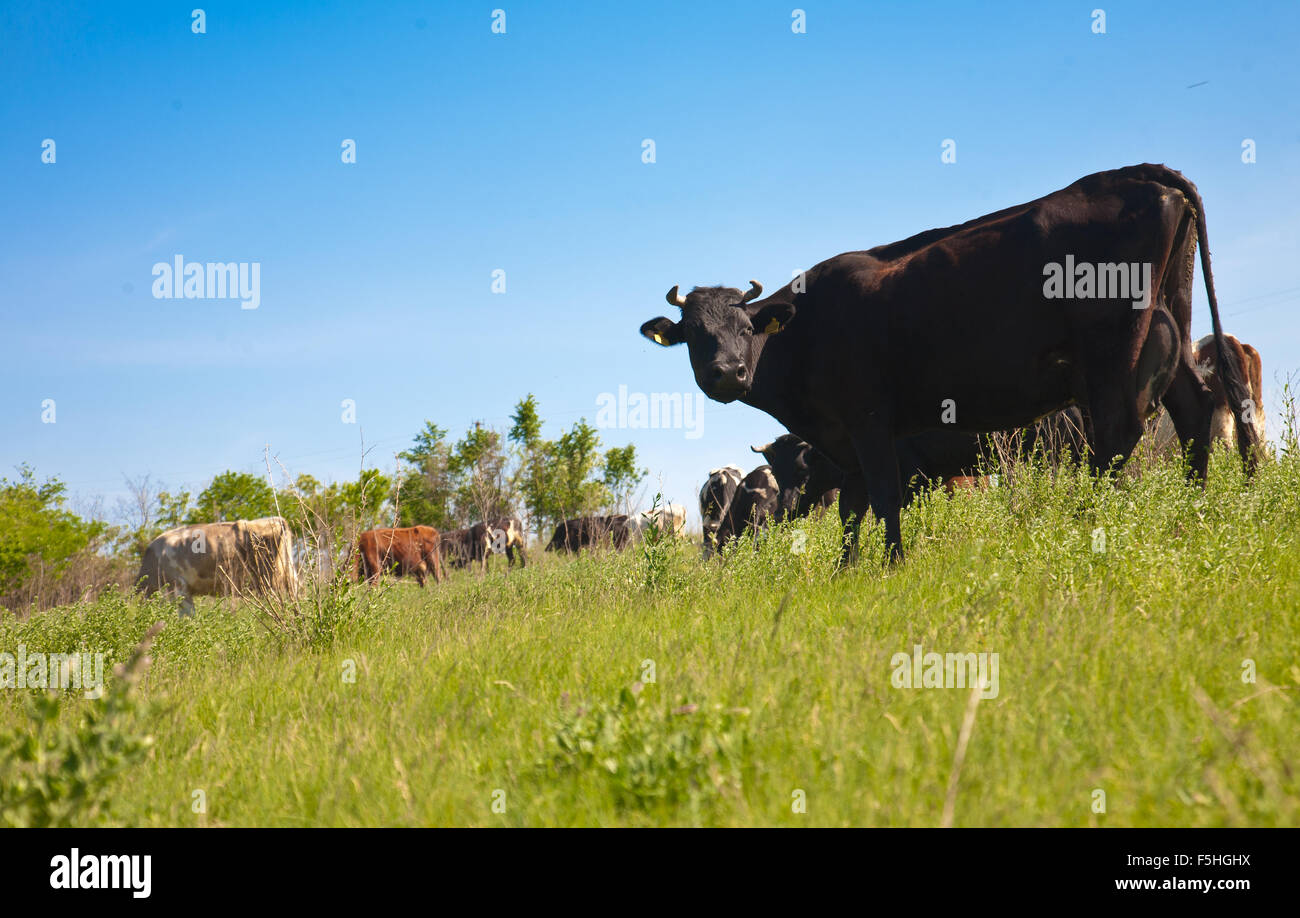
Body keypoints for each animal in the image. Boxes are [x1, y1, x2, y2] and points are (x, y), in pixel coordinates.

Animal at [641, 164, 1258, 562]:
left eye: (746, 329)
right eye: (695, 334)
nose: (728, 373)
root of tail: (1137, 174)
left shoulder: (871, 423)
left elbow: (883, 498)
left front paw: (893, 565)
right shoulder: (850, 442)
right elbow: (853, 510)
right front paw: (847, 571)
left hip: (1112, 355)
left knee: (1116, 437)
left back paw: (1090, 525)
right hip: (1170, 323)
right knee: (1193, 410)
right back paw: (1193, 514)